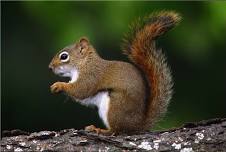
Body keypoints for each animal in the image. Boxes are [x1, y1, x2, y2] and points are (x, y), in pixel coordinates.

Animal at [49, 11, 180, 134]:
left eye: (64, 56)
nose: (50, 67)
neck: (84, 63)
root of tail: (137, 125)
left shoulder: (91, 75)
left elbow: (81, 90)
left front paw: (59, 85)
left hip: (115, 105)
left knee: (116, 130)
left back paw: (99, 129)